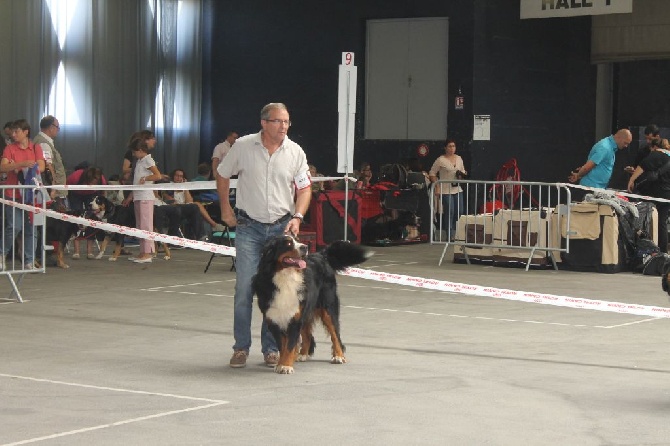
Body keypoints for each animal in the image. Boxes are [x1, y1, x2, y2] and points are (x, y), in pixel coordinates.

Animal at [255, 235, 372, 374]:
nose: (305, 247)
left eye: (297, 240)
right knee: (308, 335)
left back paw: (338, 356)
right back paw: (303, 354)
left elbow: (290, 345)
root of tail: (321, 255)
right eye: (288, 243)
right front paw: (281, 364)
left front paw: (286, 366)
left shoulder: (295, 317)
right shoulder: (274, 319)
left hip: (328, 308)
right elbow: (283, 345)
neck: (286, 277)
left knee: (335, 335)